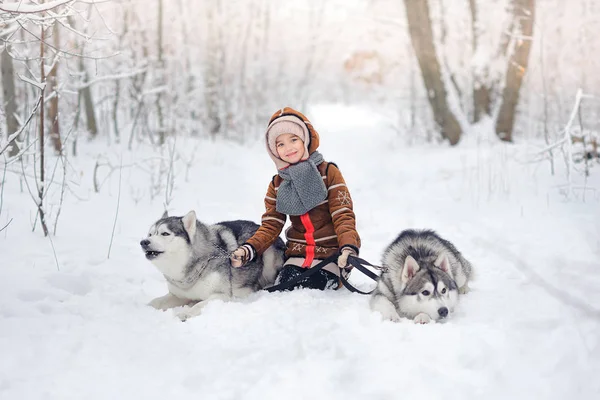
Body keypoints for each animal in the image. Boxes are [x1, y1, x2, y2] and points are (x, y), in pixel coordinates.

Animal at [141, 211, 286, 320]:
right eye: (150, 234)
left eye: (165, 233)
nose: (144, 242)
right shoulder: (178, 295)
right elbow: (156, 301)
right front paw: (145, 307)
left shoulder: (222, 296)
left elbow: (199, 305)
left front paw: (186, 313)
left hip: (269, 256)